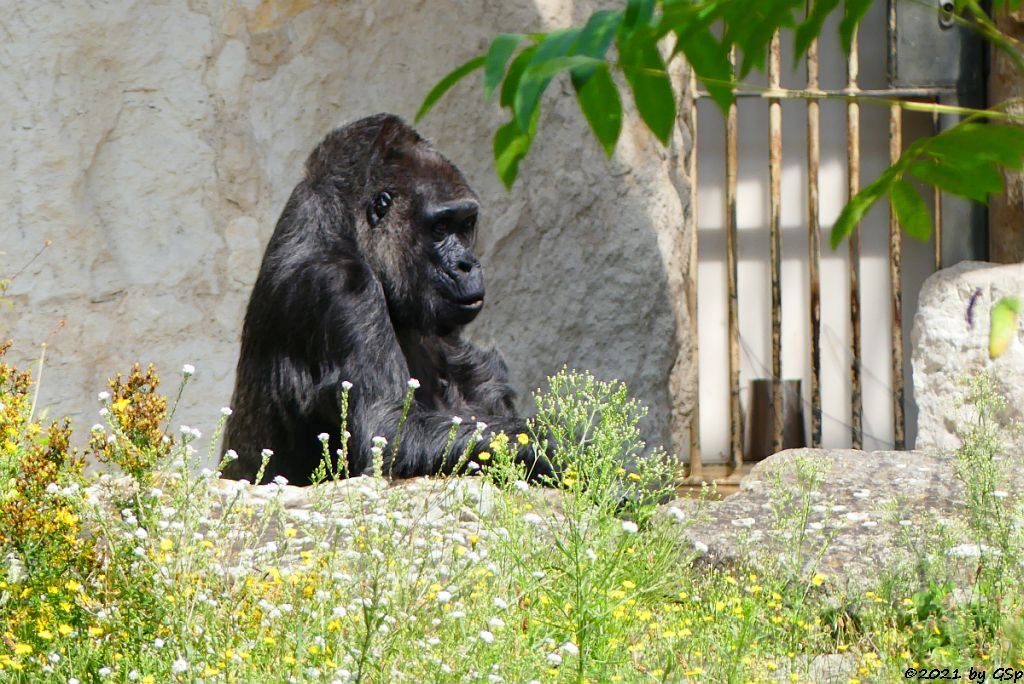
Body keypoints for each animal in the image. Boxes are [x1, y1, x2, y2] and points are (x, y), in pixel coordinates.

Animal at [221, 113, 557, 485]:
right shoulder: (340, 287)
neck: (339, 226)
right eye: (441, 228)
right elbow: (390, 430)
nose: (468, 264)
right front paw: (564, 444)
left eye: (466, 223)